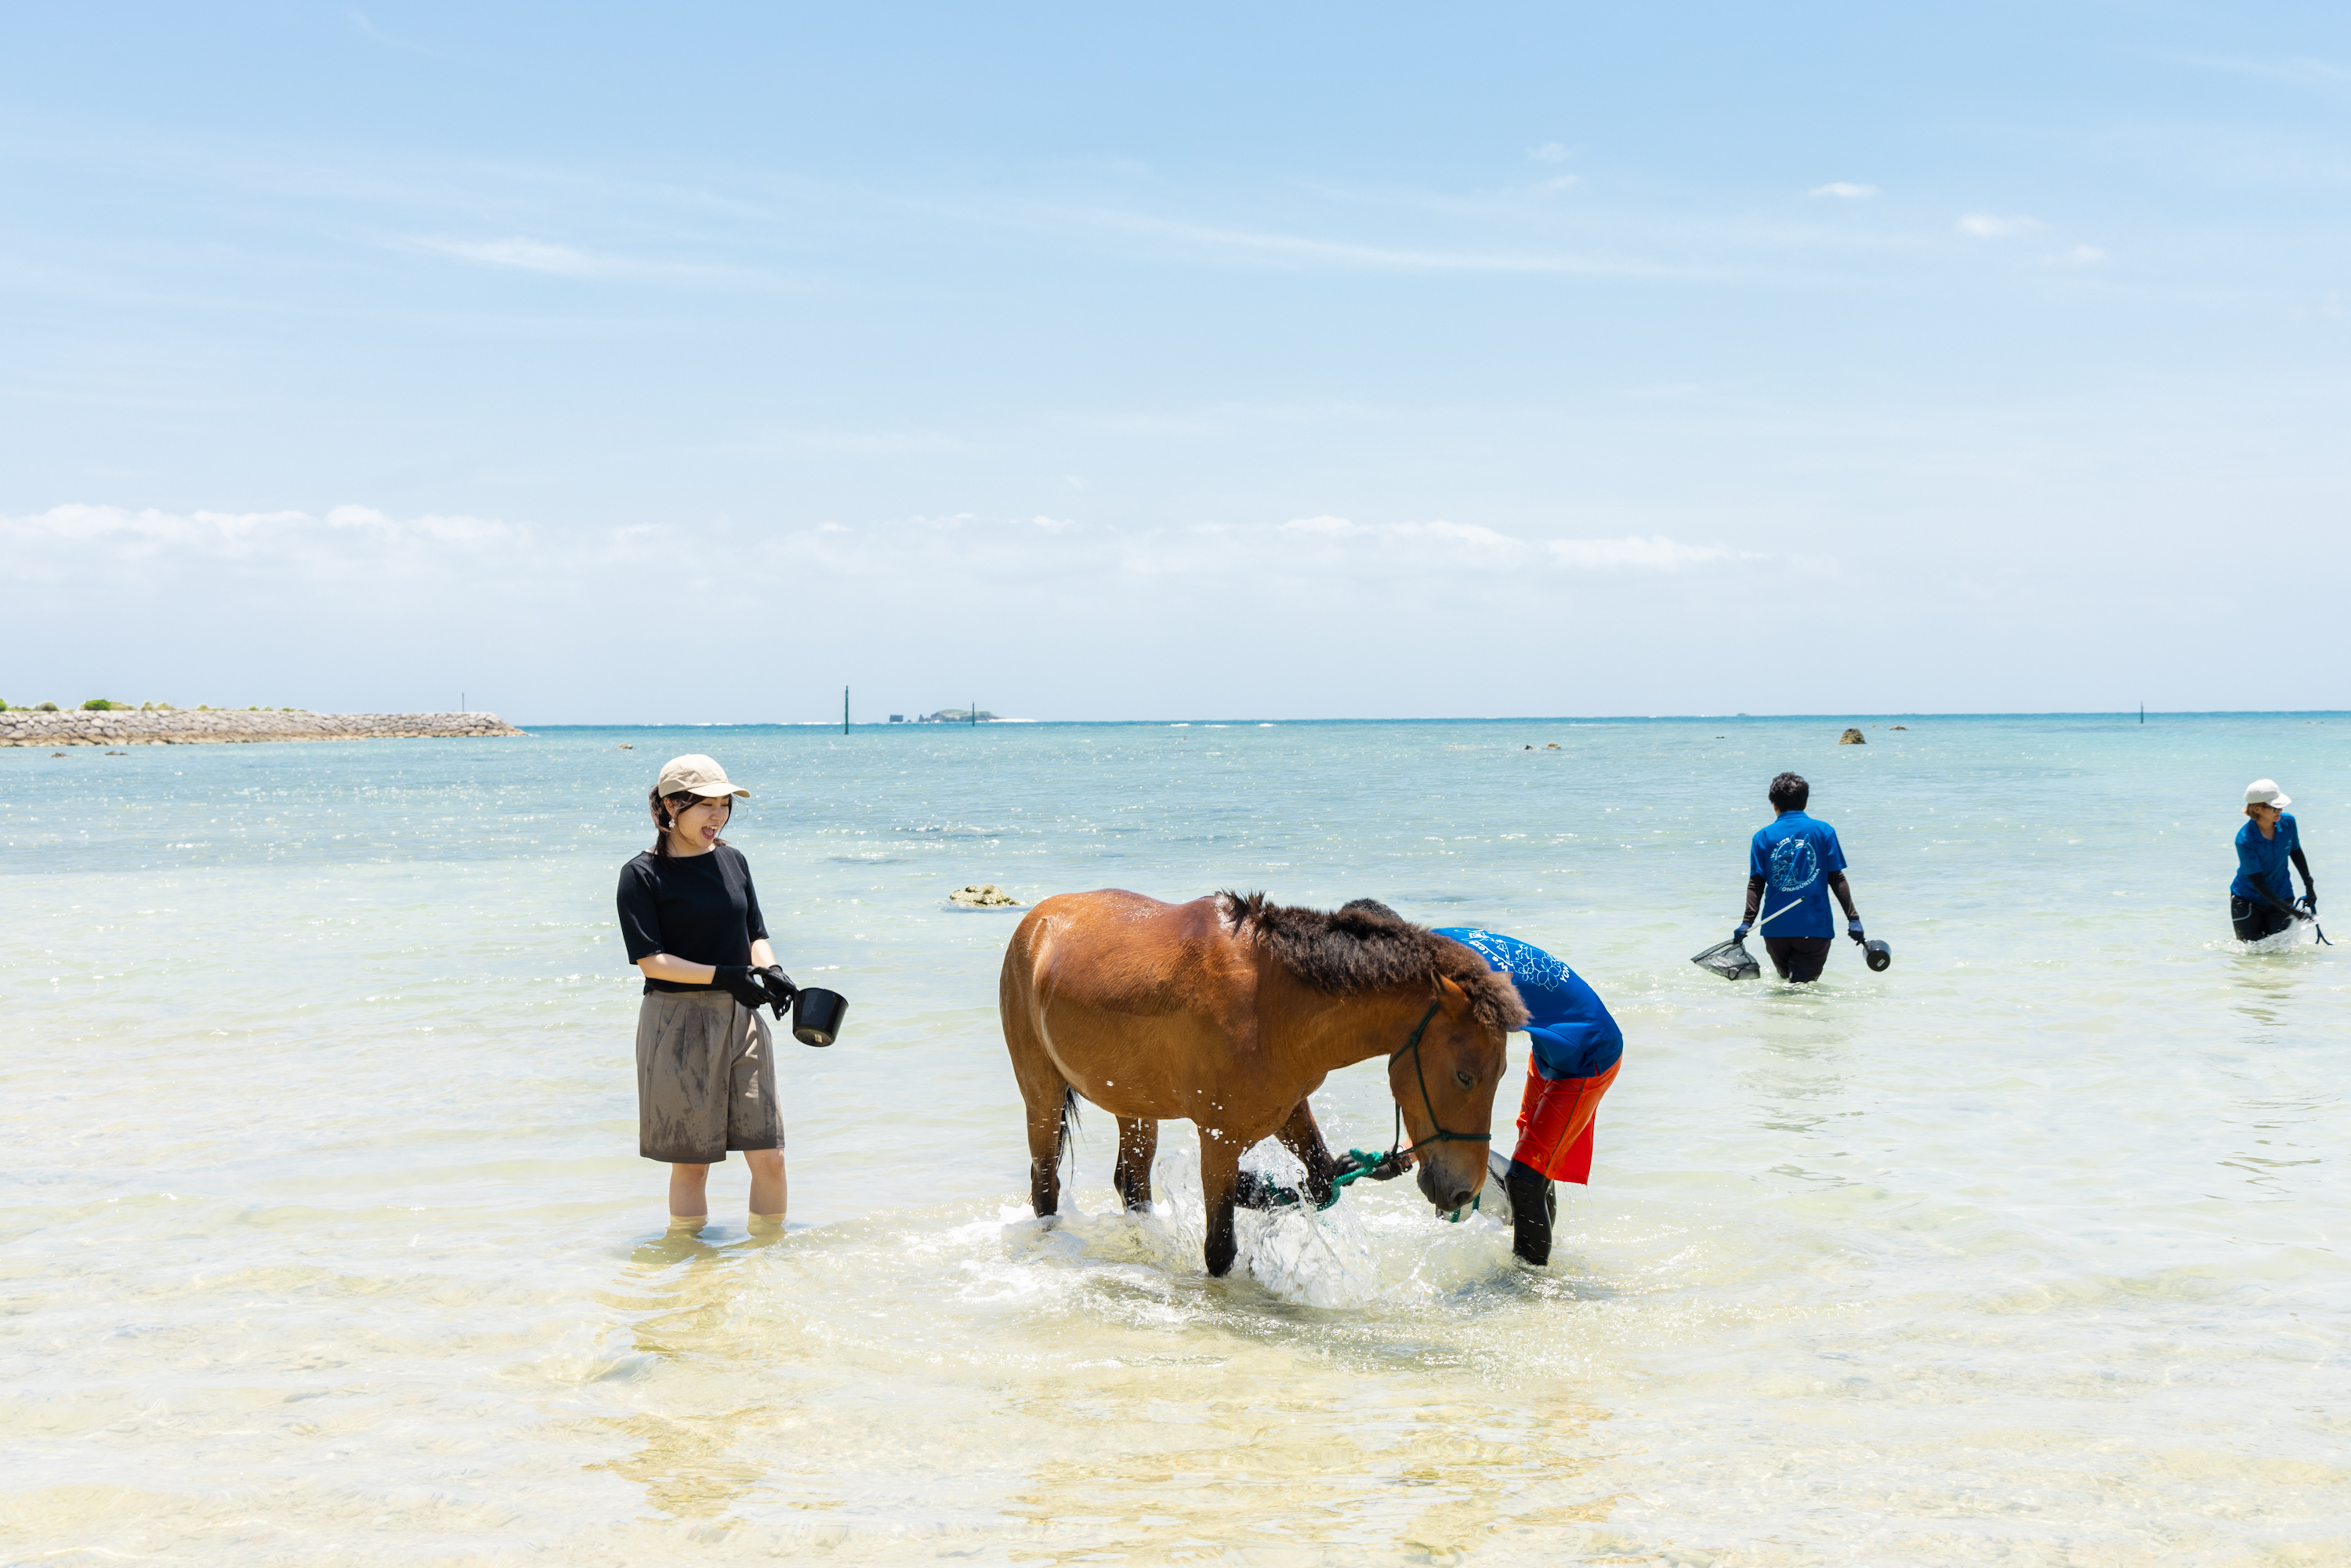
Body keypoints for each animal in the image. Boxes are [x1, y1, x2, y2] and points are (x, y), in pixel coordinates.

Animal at [997, 893, 1523, 1279]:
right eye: (1465, 1075)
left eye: (1500, 1075)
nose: (1463, 1190)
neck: (1271, 1005)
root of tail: (1037, 921)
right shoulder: (1220, 1140)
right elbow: (1219, 1247)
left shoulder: (1288, 1110)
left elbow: (1320, 1179)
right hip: (1041, 1096)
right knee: (1046, 1185)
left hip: (1136, 1106)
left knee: (1133, 1184)